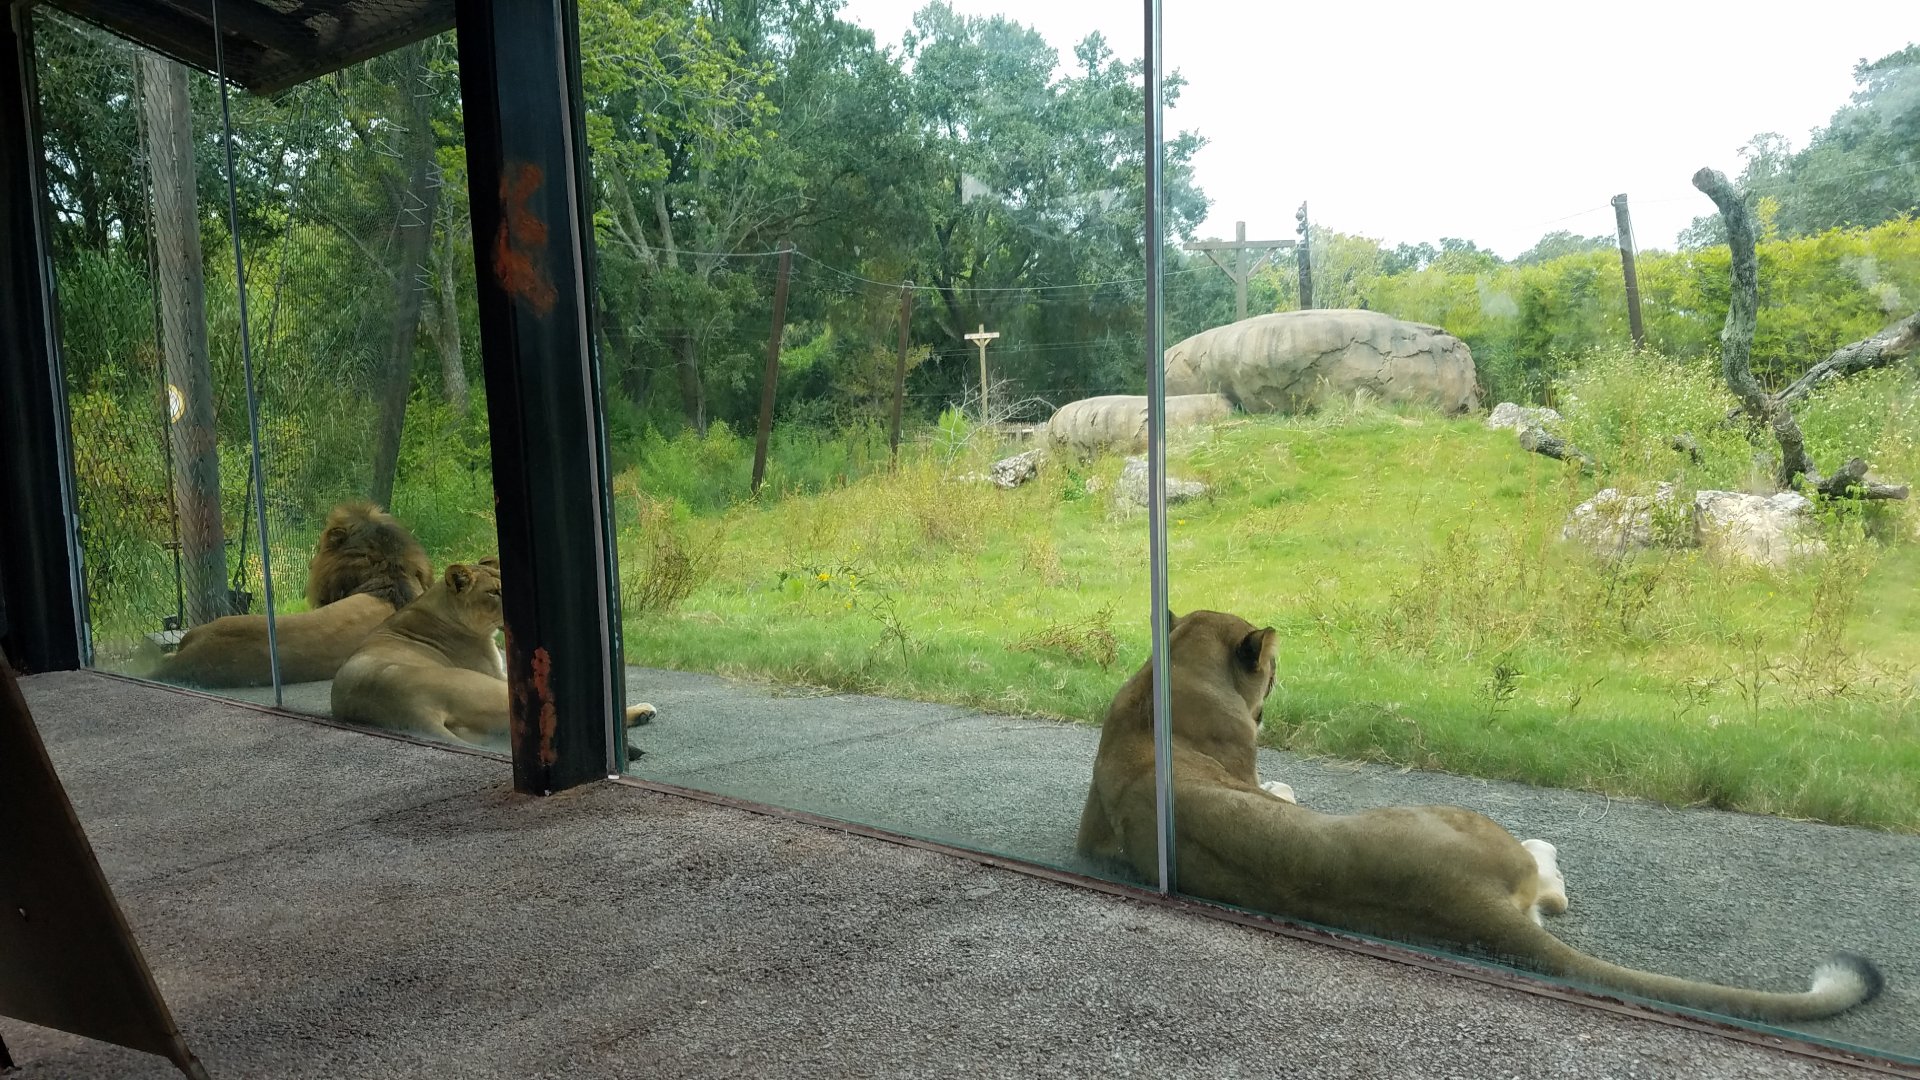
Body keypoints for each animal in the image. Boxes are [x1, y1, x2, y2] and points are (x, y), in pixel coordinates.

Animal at [1076, 609, 1883, 1023]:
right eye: (1273, 670)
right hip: (1457, 812)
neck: (1173, 673)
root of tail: (1464, 899)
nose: (1277, 692)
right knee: (1551, 885)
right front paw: (1284, 783)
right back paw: (1544, 843)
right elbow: (1274, 786)